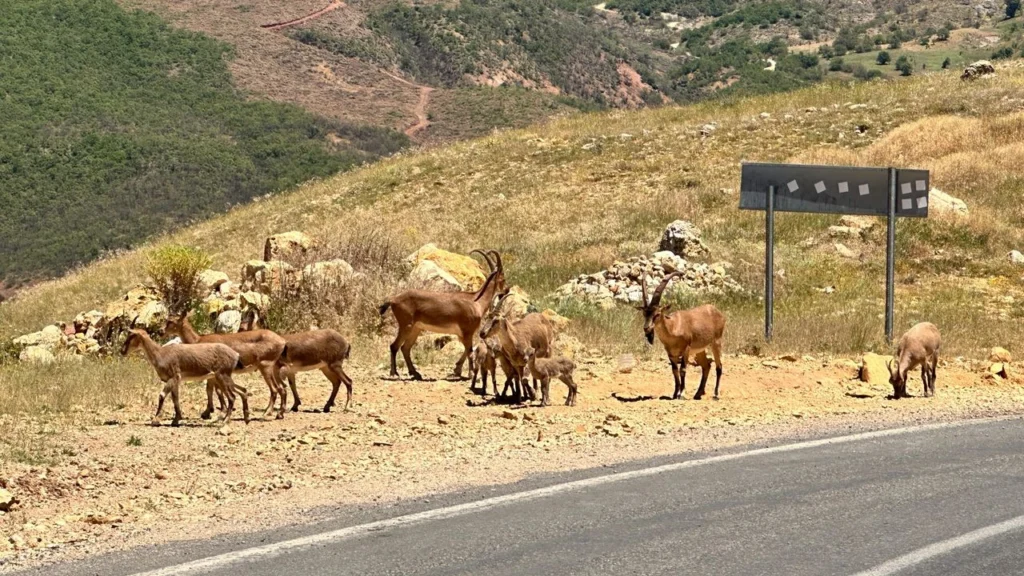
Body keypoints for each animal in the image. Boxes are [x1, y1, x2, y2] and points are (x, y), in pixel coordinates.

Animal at [121, 327, 249, 426]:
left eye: (131, 336)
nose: (122, 351)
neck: (161, 353)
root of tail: (235, 355)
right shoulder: (176, 381)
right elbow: (175, 398)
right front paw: (176, 420)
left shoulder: (174, 377)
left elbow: (162, 395)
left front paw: (155, 420)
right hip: (222, 378)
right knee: (241, 392)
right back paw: (246, 418)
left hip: (222, 376)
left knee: (232, 397)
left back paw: (226, 420)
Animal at [378, 249, 505, 379]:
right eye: (503, 278)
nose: (506, 290)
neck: (476, 301)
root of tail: (393, 300)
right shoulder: (467, 331)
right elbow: (470, 351)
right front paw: (470, 374)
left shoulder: (462, 334)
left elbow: (467, 350)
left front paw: (457, 370)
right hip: (406, 325)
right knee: (394, 346)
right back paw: (394, 373)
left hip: (415, 329)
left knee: (405, 348)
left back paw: (415, 373)